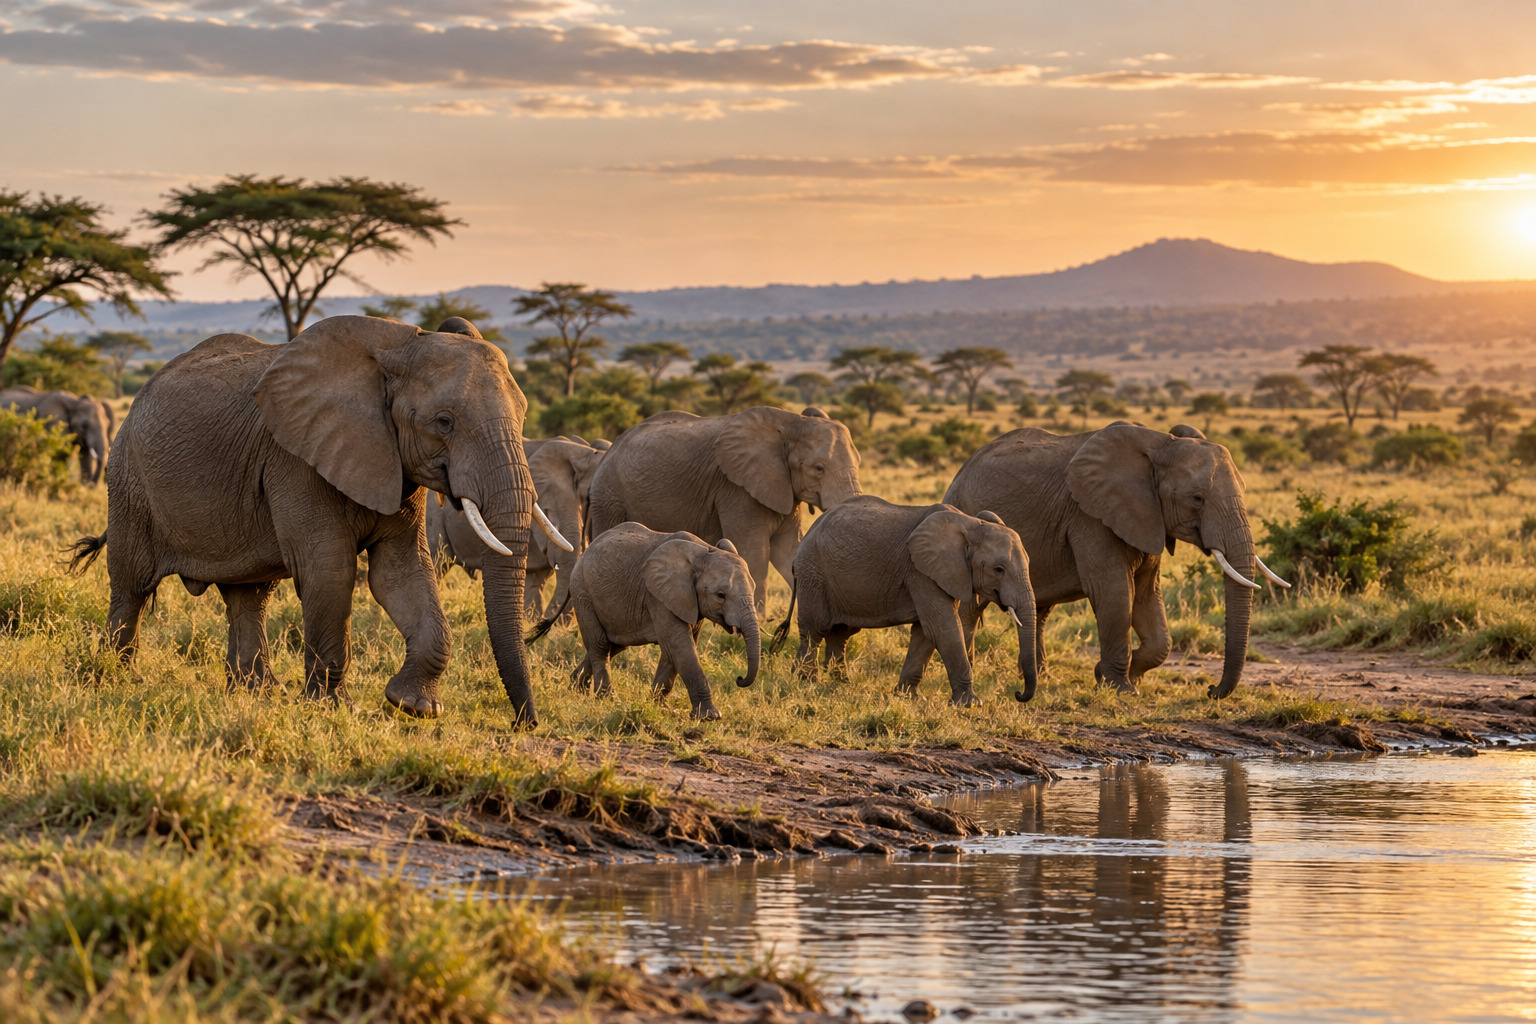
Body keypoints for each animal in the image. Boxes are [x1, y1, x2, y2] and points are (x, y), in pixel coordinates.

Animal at [69, 315, 571, 724]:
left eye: (524, 415)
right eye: (444, 422)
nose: (524, 723)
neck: (398, 346)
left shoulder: (396, 465)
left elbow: (401, 572)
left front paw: (414, 707)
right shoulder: (295, 461)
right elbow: (330, 571)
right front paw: (335, 709)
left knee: (249, 595)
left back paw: (257, 694)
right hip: (129, 479)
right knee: (132, 584)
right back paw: (115, 679)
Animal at [538, 523, 759, 720]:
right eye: (721, 595)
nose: (739, 678)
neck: (704, 551)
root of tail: (584, 552)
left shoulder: (690, 602)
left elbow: (674, 651)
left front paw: (658, 707)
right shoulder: (659, 597)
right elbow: (681, 647)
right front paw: (709, 717)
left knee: (613, 645)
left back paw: (576, 689)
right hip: (583, 592)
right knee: (600, 645)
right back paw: (605, 698)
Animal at [587, 406, 862, 615]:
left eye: (859, 463)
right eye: (818, 468)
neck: (792, 420)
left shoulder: (783, 488)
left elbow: (788, 550)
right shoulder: (735, 488)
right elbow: (755, 551)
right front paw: (762, 620)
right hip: (609, 495)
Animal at [773, 496, 1038, 705]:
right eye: (998, 569)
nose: (1017, 694)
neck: (970, 523)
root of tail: (808, 534)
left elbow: (925, 633)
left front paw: (908, 697)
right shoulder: (921, 572)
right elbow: (942, 628)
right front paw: (970, 705)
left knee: (841, 633)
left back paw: (841, 683)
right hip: (813, 573)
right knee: (814, 629)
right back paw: (807, 681)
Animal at [941, 422, 1285, 700]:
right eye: (1197, 498)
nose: (1211, 690)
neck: (1161, 444)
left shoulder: (1148, 518)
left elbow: (1148, 598)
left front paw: (1119, 676)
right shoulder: (1090, 516)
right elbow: (1115, 591)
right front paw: (1121, 689)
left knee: (1038, 610)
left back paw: (1045, 678)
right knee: (970, 608)